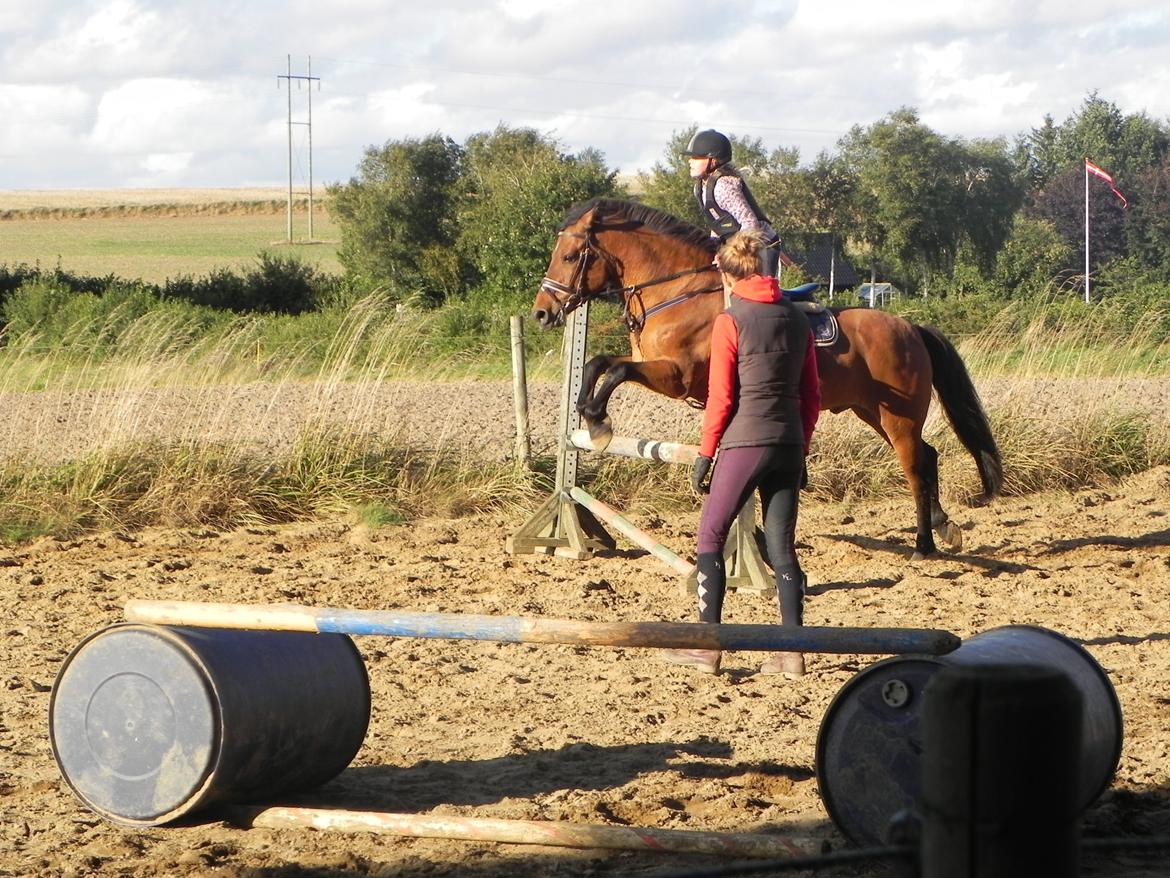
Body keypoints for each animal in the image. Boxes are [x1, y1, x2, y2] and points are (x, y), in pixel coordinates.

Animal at [535, 196, 1001, 559]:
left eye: (570, 256)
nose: (542, 312)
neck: (678, 292)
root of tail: (911, 328)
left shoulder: (677, 376)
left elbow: (615, 370)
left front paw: (598, 422)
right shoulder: (656, 366)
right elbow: (597, 362)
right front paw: (584, 410)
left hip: (897, 417)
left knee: (916, 467)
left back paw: (924, 543)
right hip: (873, 412)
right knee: (928, 456)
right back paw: (943, 527)